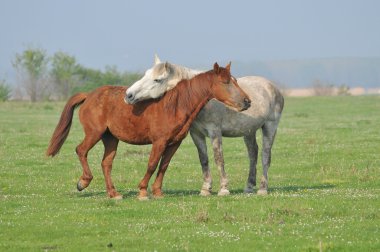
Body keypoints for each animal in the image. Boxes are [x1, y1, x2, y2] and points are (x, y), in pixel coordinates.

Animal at [46, 62, 251, 199]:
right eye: (226, 82)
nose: (247, 101)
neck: (175, 105)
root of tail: (89, 95)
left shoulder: (174, 143)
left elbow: (163, 166)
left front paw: (158, 192)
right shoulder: (159, 142)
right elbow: (152, 164)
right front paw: (143, 191)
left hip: (110, 138)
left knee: (106, 163)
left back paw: (114, 194)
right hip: (94, 133)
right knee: (81, 150)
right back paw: (83, 182)